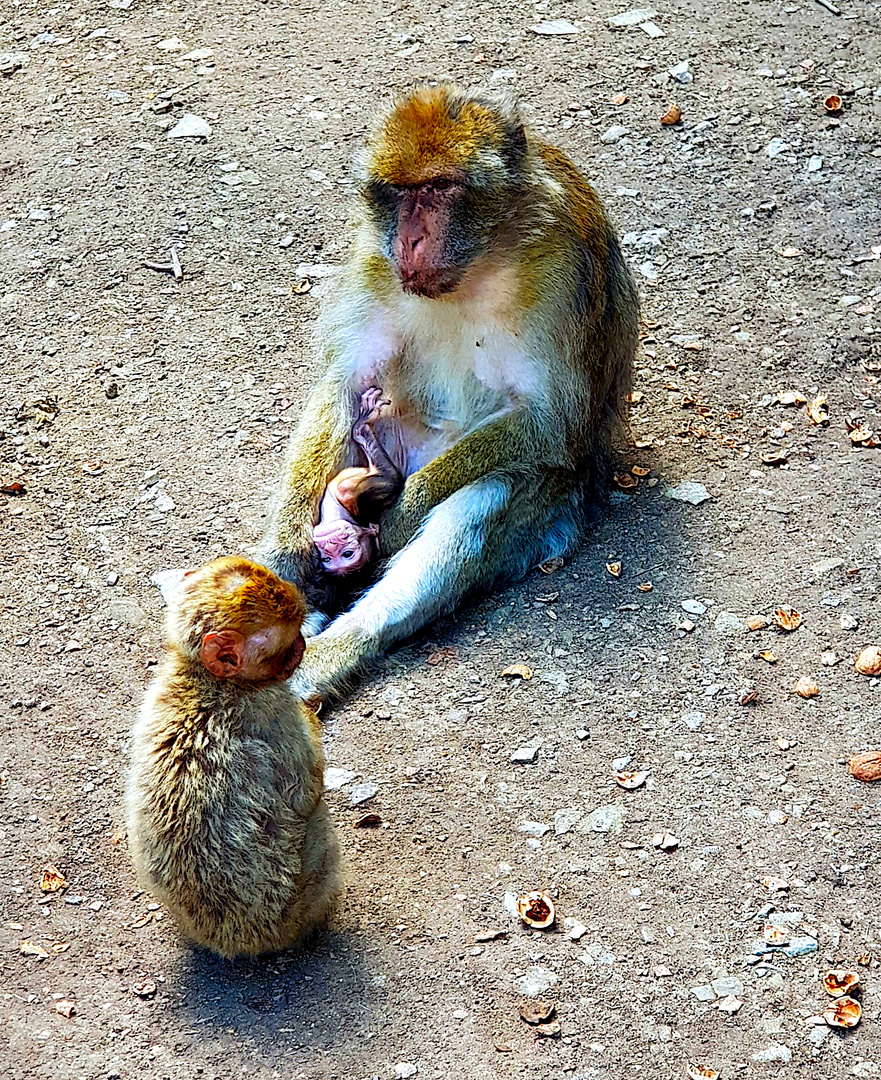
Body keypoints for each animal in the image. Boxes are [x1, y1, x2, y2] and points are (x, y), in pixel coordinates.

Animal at [124, 557, 341, 954]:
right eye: (287, 643)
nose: (303, 646)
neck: (209, 679)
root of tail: (231, 939)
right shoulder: (274, 708)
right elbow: (305, 792)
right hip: (301, 896)